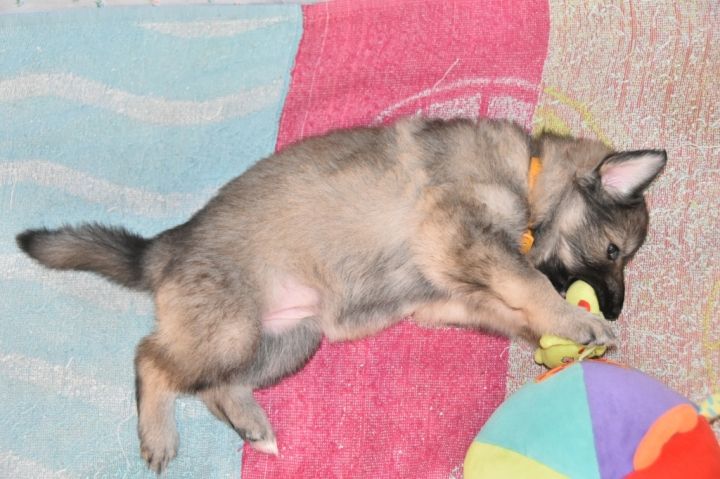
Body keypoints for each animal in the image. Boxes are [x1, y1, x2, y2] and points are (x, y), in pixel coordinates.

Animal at [16, 117, 666, 472]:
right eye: (614, 252)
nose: (613, 307)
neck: (530, 176)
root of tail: (167, 246)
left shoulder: (445, 295)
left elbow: (509, 305)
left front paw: (553, 331)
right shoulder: (456, 234)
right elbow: (526, 280)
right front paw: (577, 323)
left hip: (288, 339)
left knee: (210, 387)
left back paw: (252, 426)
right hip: (232, 329)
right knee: (152, 359)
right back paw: (158, 436)